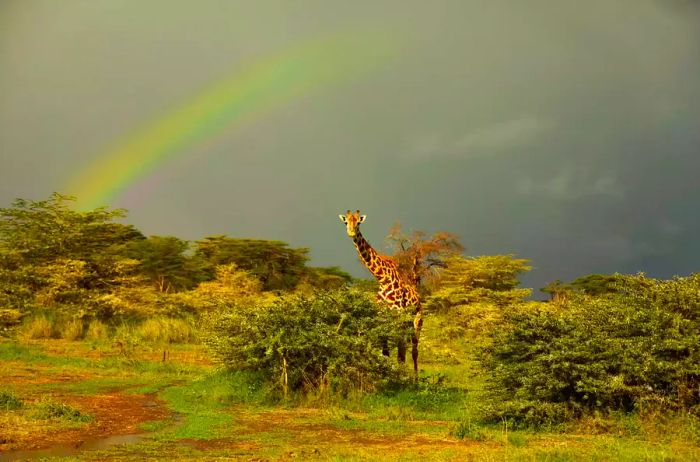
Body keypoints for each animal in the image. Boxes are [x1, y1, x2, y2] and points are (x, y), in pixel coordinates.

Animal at [338, 211, 422, 378]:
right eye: (346, 222)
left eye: (358, 222)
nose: (351, 233)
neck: (382, 278)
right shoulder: (381, 318)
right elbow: (386, 354)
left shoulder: (397, 317)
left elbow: (400, 356)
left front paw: (401, 380)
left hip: (417, 321)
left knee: (414, 351)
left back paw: (416, 380)